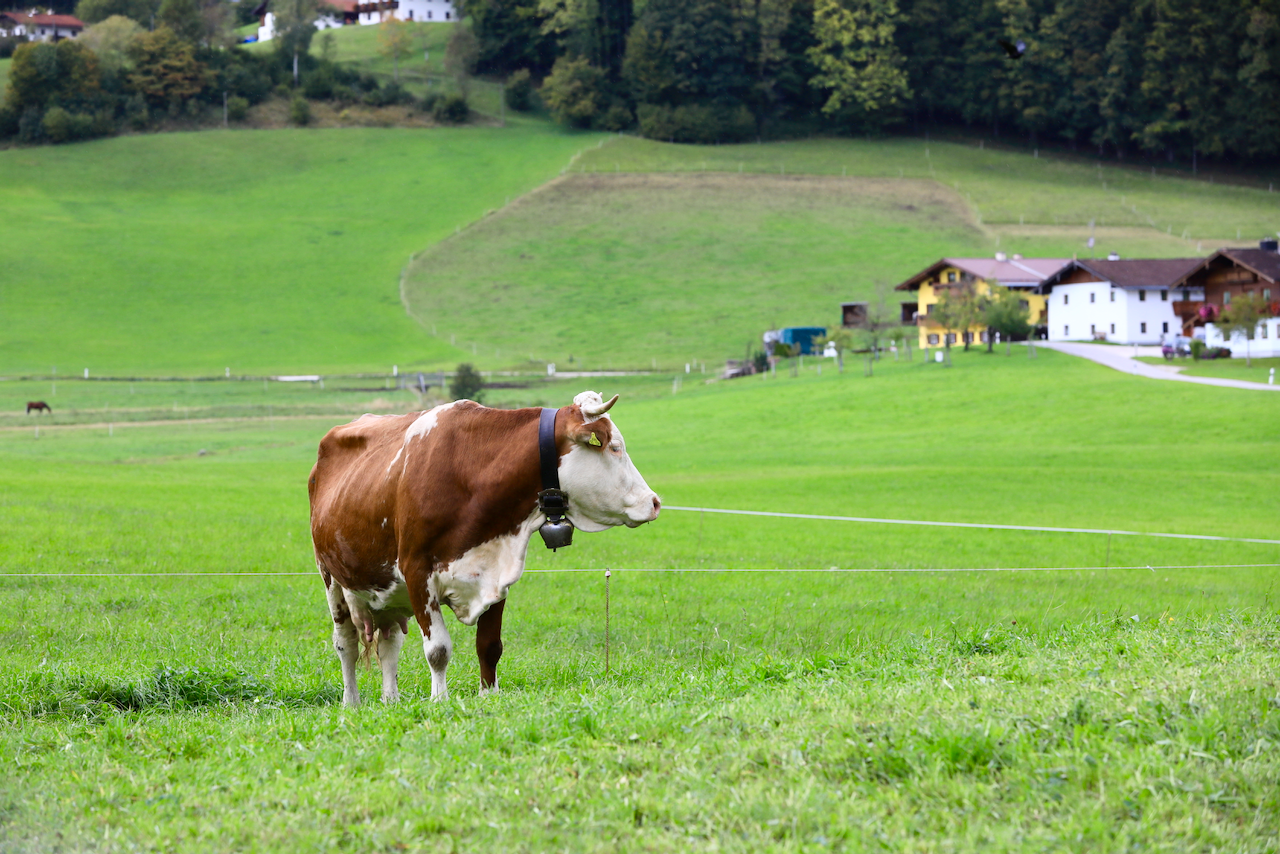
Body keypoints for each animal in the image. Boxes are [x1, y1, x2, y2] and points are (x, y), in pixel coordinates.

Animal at [308, 391, 660, 706]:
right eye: (614, 447)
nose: (654, 502)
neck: (471, 474)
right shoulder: (417, 572)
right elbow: (437, 650)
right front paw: (439, 700)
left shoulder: (497, 572)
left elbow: (489, 645)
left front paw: (488, 695)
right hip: (332, 579)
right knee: (346, 644)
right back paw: (351, 702)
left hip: (386, 592)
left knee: (389, 645)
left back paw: (390, 700)